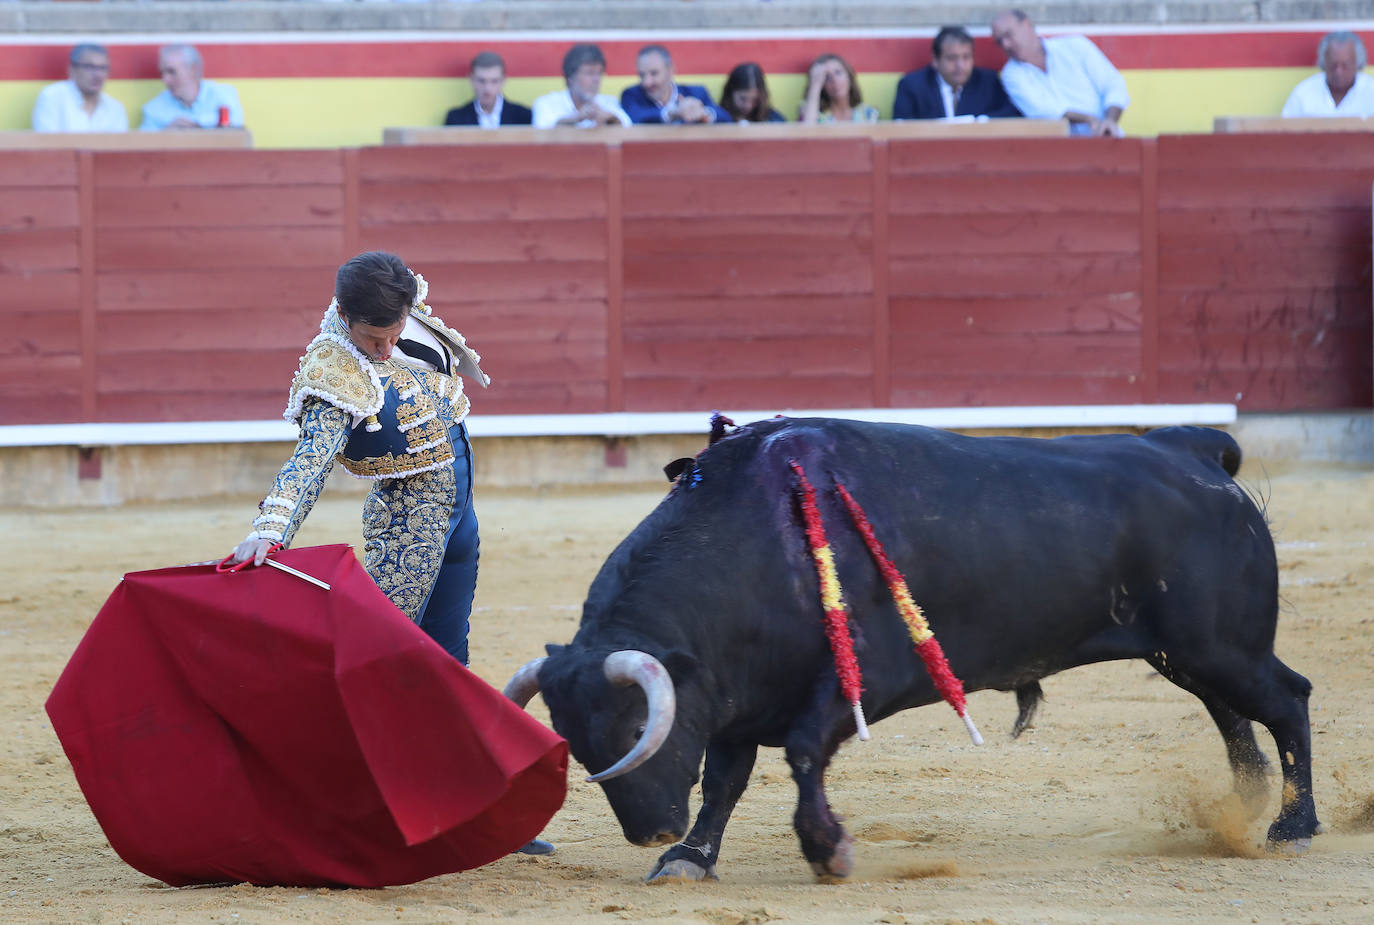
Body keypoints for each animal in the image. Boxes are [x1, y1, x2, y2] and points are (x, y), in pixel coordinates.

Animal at [505, 417, 1319, 879]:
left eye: (637, 730)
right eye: (578, 744)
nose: (651, 832)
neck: (758, 541)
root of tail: (1194, 450)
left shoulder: (860, 681)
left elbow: (801, 753)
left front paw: (827, 851)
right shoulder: (733, 698)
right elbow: (724, 781)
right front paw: (689, 857)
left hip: (1221, 644)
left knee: (1287, 700)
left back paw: (1291, 827)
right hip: (1190, 651)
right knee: (1231, 711)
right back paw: (1246, 806)